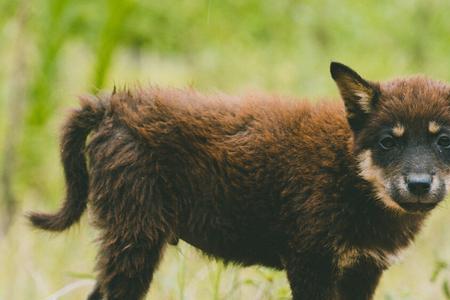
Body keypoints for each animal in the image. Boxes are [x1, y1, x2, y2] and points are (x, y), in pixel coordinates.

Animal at [29, 62, 450, 298]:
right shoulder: (311, 263)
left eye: (443, 139)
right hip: (135, 242)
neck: (351, 175)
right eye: (387, 141)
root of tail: (111, 107)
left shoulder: (363, 270)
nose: (418, 184)